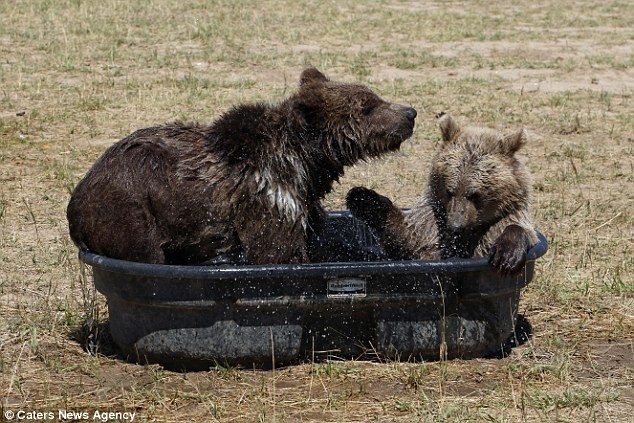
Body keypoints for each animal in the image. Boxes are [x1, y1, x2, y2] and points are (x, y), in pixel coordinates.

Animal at [66, 67, 418, 264]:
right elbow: (275, 250)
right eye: (368, 106)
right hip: (131, 212)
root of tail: (76, 203)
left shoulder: (304, 201)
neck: (305, 164)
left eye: (374, 96)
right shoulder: (269, 199)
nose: (410, 113)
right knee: (147, 253)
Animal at [348, 112, 536, 274]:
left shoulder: (499, 221)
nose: (456, 226)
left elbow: (518, 229)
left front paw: (507, 255)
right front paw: (362, 198)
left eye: (475, 194)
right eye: (449, 191)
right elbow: (409, 238)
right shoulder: (434, 222)